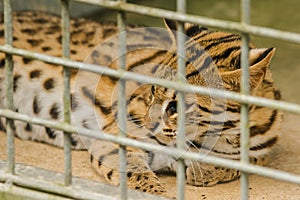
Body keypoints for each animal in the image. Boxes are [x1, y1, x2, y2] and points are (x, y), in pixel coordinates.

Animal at [0, 10, 282, 194]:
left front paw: (205, 168)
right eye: (153, 91)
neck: (227, 134)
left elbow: (240, 163)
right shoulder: (114, 137)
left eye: (176, 106)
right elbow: (136, 176)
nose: (148, 124)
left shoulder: (261, 153)